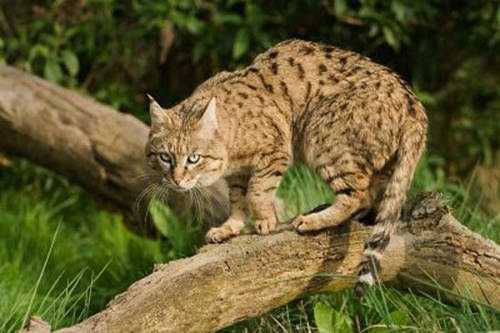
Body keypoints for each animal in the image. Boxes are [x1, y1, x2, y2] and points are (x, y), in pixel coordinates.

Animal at [144, 37, 426, 294]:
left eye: (194, 158)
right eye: (165, 157)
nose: (177, 180)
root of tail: (414, 105)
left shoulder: (276, 152)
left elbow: (257, 191)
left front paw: (266, 220)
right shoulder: (237, 175)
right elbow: (237, 199)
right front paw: (229, 227)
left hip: (322, 137)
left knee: (358, 194)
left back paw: (312, 221)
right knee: (373, 197)